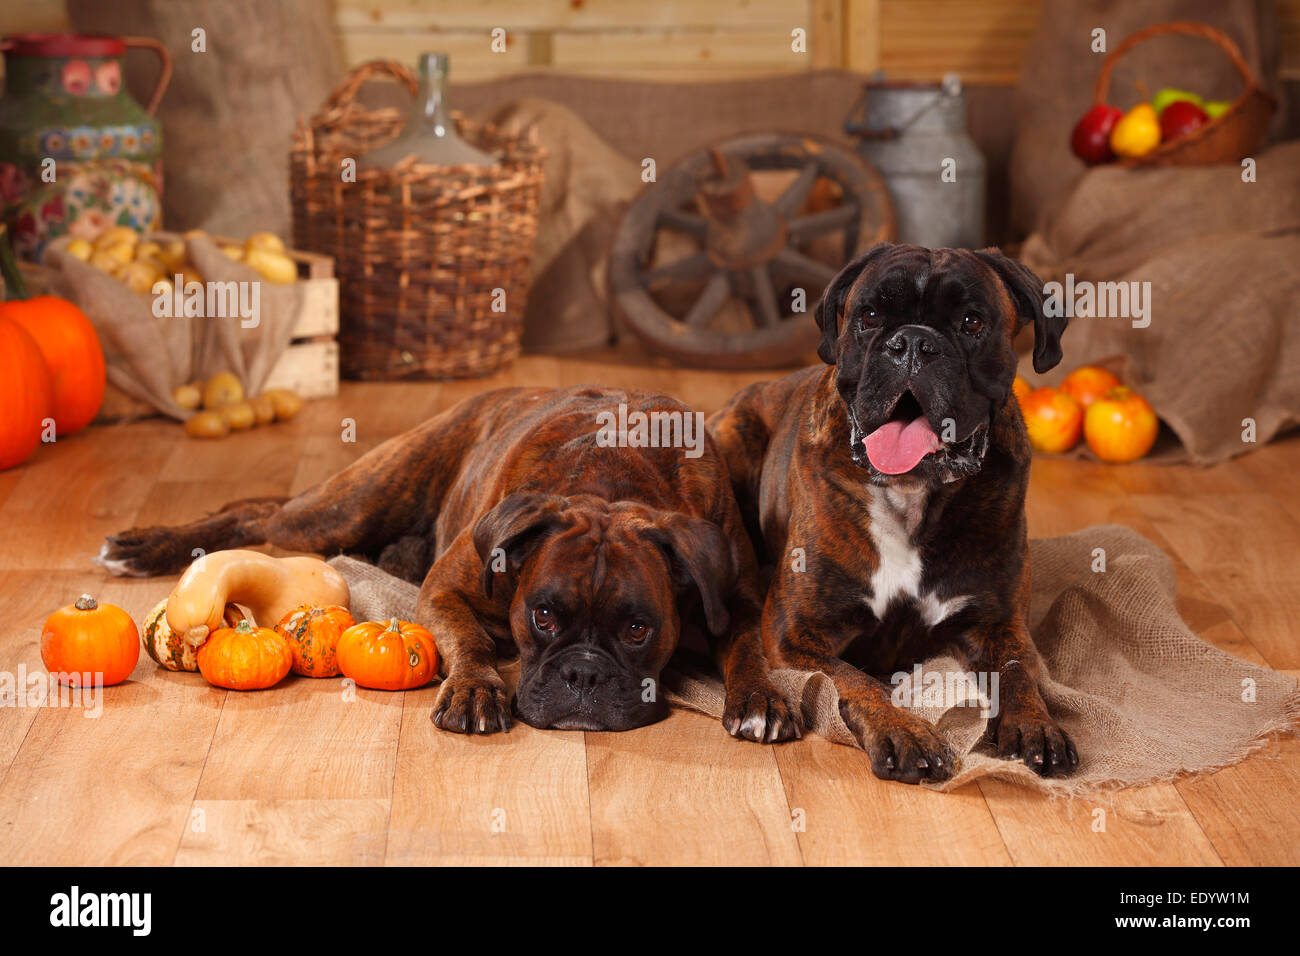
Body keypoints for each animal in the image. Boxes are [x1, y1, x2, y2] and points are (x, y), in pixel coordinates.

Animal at [96, 387, 795, 738]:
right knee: (257, 510)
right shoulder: (446, 590)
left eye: (637, 629)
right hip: (343, 510)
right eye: (542, 617)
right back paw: (141, 547)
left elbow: (748, 649)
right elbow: (467, 638)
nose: (584, 676)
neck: (611, 481)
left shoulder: (733, 595)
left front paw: (761, 698)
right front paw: (474, 689)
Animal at [712, 240, 1076, 785]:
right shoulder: (795, 634)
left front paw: (1036, 724)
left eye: (971, 322)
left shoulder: (999, 624)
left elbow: (1017, 674)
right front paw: (907, 733)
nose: (913, 344)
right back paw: (760, 702)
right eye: (869, 317)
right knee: (740, 633)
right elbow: (856, 682)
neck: (913, 496)